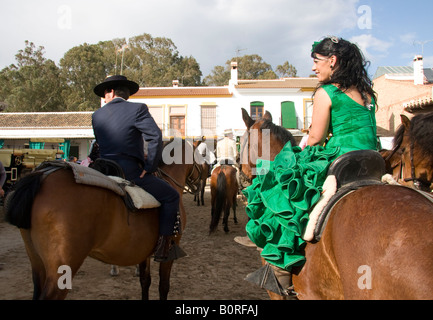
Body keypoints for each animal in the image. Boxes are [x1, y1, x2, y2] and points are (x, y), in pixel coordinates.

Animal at [4, 138, 197, 300]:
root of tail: (42, 175)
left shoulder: (144, 252)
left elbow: (145, 281)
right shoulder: (169, 251)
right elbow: (164, 286)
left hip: (37, 263)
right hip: (62, 268)